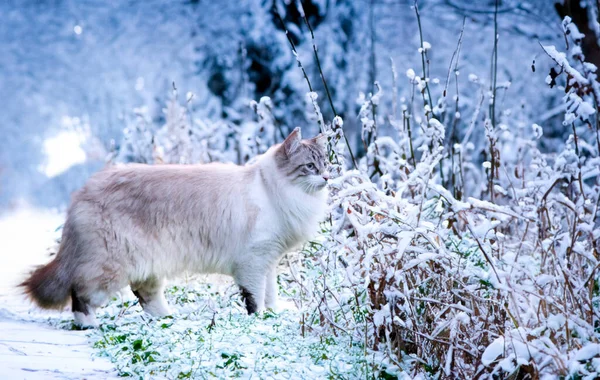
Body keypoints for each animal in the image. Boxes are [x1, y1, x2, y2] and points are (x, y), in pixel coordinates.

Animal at [21, 127, 328, 326]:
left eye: (326, 164)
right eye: (310, 167)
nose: (327, 177)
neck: (273, 190)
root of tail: (84, 190)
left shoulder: (269, 261)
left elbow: (271, 294)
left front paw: (275, 314)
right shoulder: (253, 261)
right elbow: (256, 299)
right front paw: (262, 320)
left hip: (148, 263)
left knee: (145, 296)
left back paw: (170, 318)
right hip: (109, 267)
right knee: (80, 294)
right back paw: (90, 325)